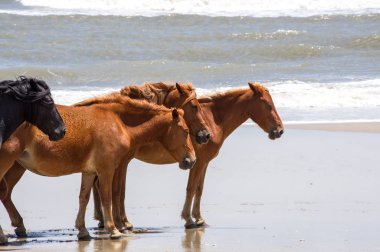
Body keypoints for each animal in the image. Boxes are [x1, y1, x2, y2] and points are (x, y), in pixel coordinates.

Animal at [0, 93, 196, 241]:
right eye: (185, 131)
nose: (191, 160)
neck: (117, 122)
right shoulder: (106, 170)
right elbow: (107, 198)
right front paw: (114, 229)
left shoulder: (89, 171)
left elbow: (84, 198)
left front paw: (82, 230)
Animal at [92, 82, 284, 228]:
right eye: (268, 105)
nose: (280, 130)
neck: (213, 121)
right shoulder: (198, 162)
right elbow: (191, 188)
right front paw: (189, 218)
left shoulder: (204, 162)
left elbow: (199, 189)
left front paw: (199, 218)